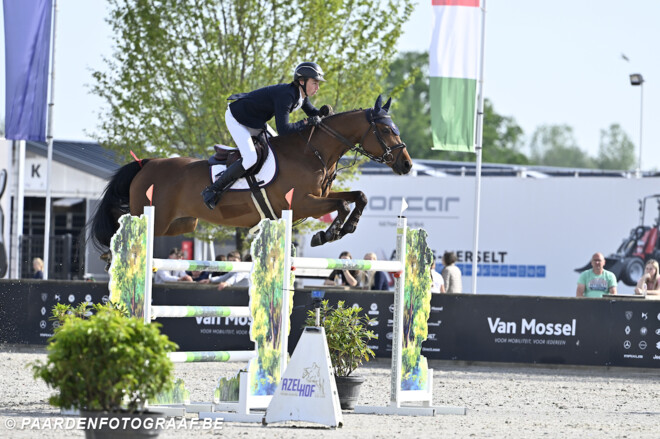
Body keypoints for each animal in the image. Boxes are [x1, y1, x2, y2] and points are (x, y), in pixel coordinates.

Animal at [91, 96, 412, 254]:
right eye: (386, 131)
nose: (407, 165)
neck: (313, 153)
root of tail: (146, 164)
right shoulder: (301, 204)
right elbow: (343, 203)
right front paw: (328, 234)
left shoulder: (318, 197)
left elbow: (359, 196)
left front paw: (346, 228)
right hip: (154, 219)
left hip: (179, 225)